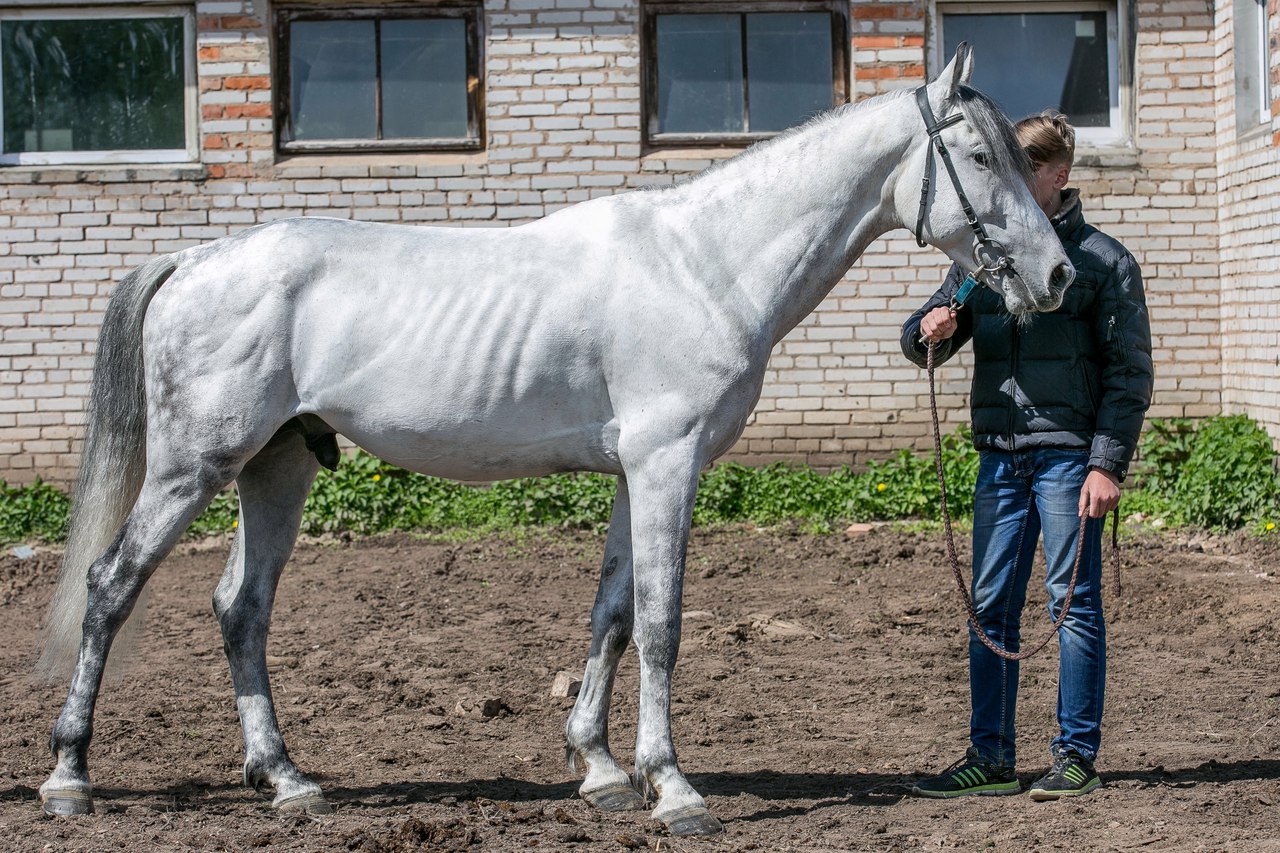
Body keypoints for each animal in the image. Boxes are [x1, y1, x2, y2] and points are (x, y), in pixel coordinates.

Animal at [32, 46, 1070, 829]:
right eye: (980, 158)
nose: (1056, 275)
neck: (705, 263)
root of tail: (197, 258)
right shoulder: (667, 464)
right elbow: (660, 622)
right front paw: (674, 788)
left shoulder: (635, 471)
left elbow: (610, 613)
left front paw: (602, 769)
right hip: (192, 466)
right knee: (111, 586)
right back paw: (69, 775)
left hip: (275, 465)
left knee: (240, 608)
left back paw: (287, 779)